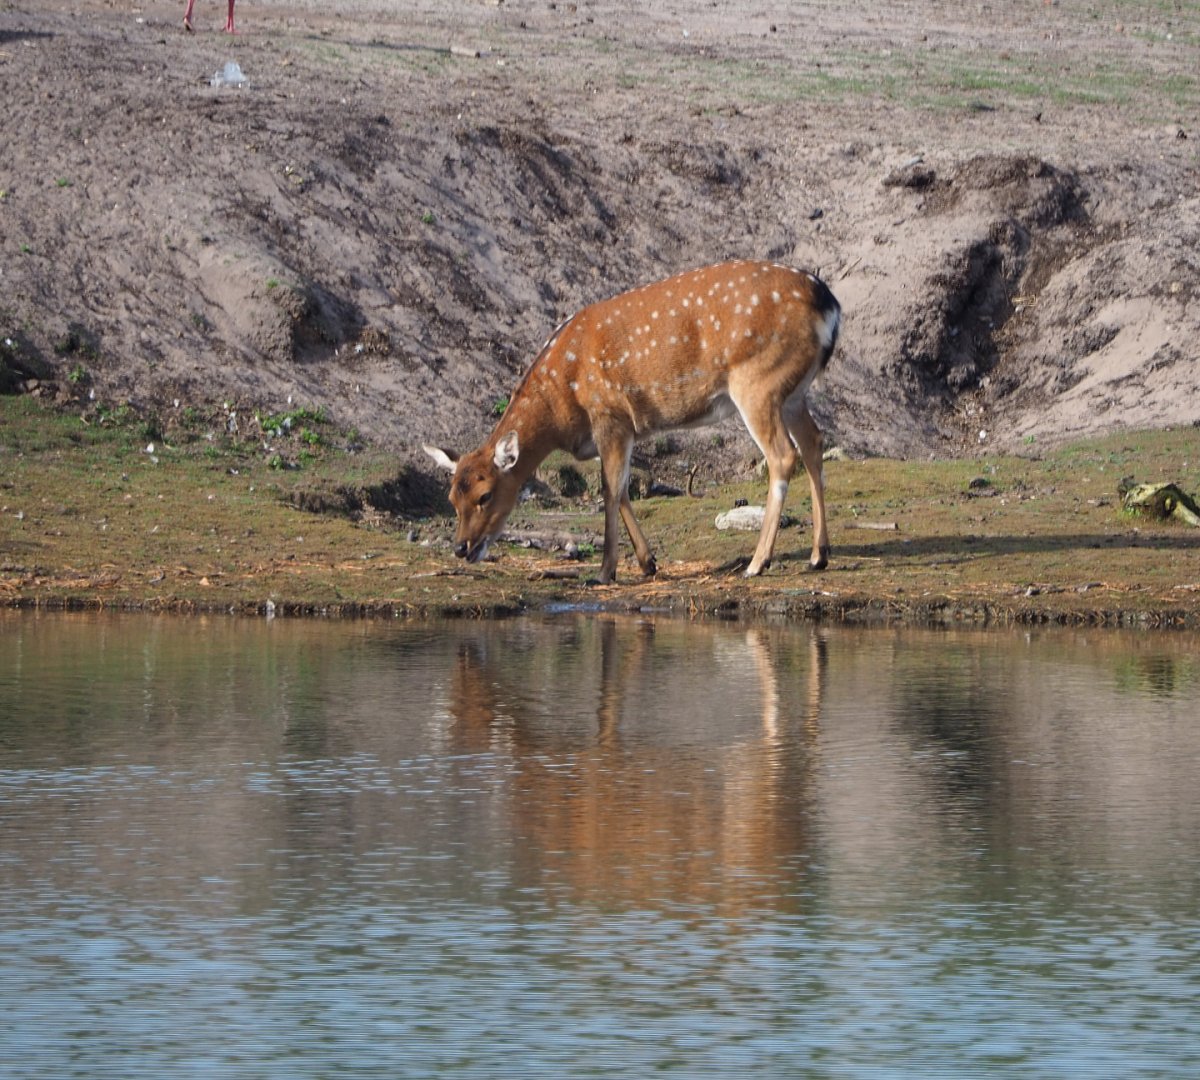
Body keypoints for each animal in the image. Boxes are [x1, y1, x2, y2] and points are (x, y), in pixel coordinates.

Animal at [424, 259, 841, 584]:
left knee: (783, 455)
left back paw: (757, 562)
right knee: (814, 442)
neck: (562, 402)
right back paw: (818, 554)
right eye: (451, 497)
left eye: (485, 495)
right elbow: (622, 487)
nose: (461, 547)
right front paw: (647, 563)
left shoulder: (610, 414)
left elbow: (609, 491)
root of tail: (829, 303)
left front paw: (605, 571)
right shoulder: (614, 431)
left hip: (758, 380)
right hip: (793, 392)